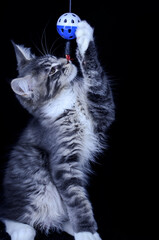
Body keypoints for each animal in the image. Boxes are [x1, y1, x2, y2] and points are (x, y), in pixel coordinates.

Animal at [0, 21, 114, 240]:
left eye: (54, 58)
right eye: (52, 70)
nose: (66, 60)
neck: (67, 99)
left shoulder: (102, 112)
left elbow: (97, 78)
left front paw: (84, 37)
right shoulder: (63, 162)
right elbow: (77, 201)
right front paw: (86, 232)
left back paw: (69, 226)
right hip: (35, 181)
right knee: (9, 214)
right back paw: (22, 230)